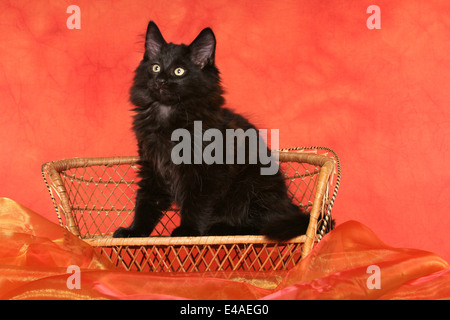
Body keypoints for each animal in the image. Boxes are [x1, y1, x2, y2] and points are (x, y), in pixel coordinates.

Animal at [112, 20, 310, 240]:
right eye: (156, 67)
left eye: (179, 71)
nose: (161, 81)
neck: (167, 115)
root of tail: (288, 205)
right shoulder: (152, 167)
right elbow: (146, 202)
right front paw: (134, 231)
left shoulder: (207, 172)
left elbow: (196, 203)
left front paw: (187, 230)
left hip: (252, 186)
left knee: (260, 224)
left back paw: (221, 227)